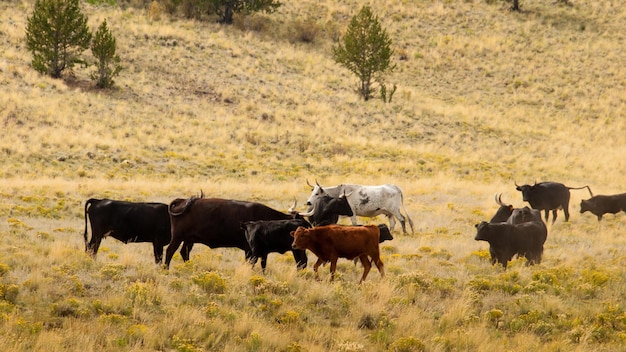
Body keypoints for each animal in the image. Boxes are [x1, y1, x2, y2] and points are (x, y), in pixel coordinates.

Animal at [165, 197, 302, 268]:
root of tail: (182, 200)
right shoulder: (249, 249)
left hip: (188, 239)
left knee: (184, 252)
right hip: (177, 237)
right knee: (170, 250)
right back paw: (166, 269)